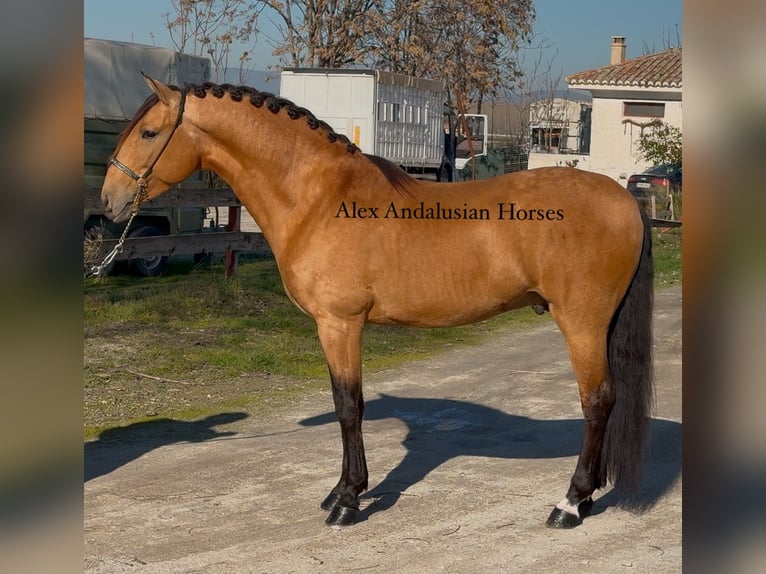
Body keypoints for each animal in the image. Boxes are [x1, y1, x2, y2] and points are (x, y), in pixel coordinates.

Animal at [100, 76, 656, 532]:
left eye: (149, 133)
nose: (109, 201)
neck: (318, 197)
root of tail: (624, 200)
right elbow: (344, 403)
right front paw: (340, 493)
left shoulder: (339, 324)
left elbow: (349, 407)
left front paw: (348, 501)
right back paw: (586, 499)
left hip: (582, 323)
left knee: (597, 402)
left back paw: (569, 504)